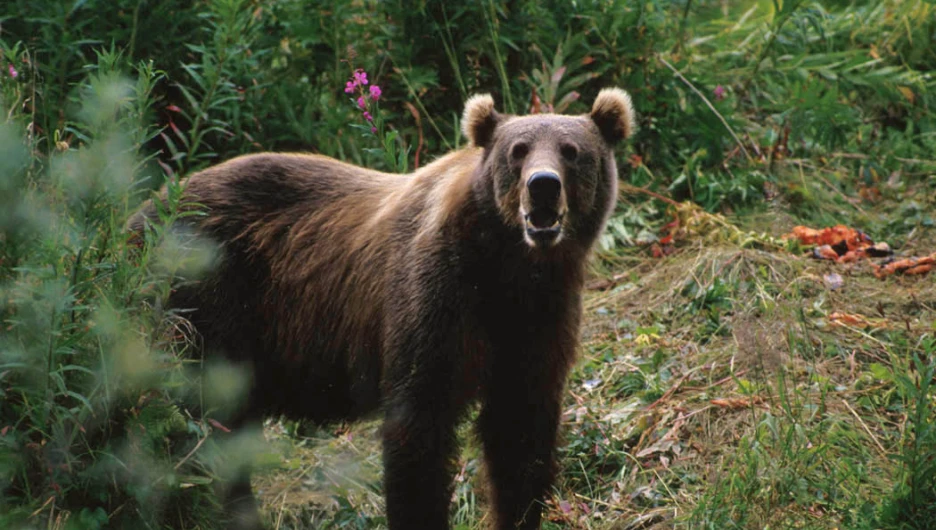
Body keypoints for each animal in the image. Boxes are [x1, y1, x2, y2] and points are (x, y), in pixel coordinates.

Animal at [128, 88, 632, 524]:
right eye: (519, 150)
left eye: (571, 150)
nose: (543, 186)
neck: (507, 267)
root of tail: (142, 212)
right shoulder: (435, 297)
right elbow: (419, 429)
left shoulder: (539, 317)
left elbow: (520, 431)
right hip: (203, 302)